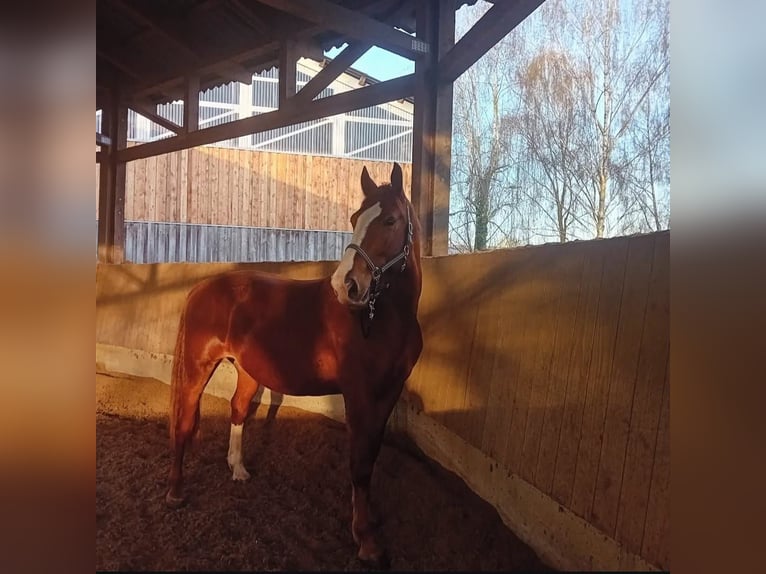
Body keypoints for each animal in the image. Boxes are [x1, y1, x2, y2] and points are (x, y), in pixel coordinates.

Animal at [166, 163, 426, 568]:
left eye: (390, 220)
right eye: (355, 219)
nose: (347, 285)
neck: (381, 319)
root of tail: (202, 288)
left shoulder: (389, 393)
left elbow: (371, 454)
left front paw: (370, 523)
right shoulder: (358, 394)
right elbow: (359, 462)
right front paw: (365, 540)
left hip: (248, 372)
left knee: (238, 409)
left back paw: (238, 469)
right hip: (197, 369)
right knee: (184, 422)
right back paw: (176, 493)